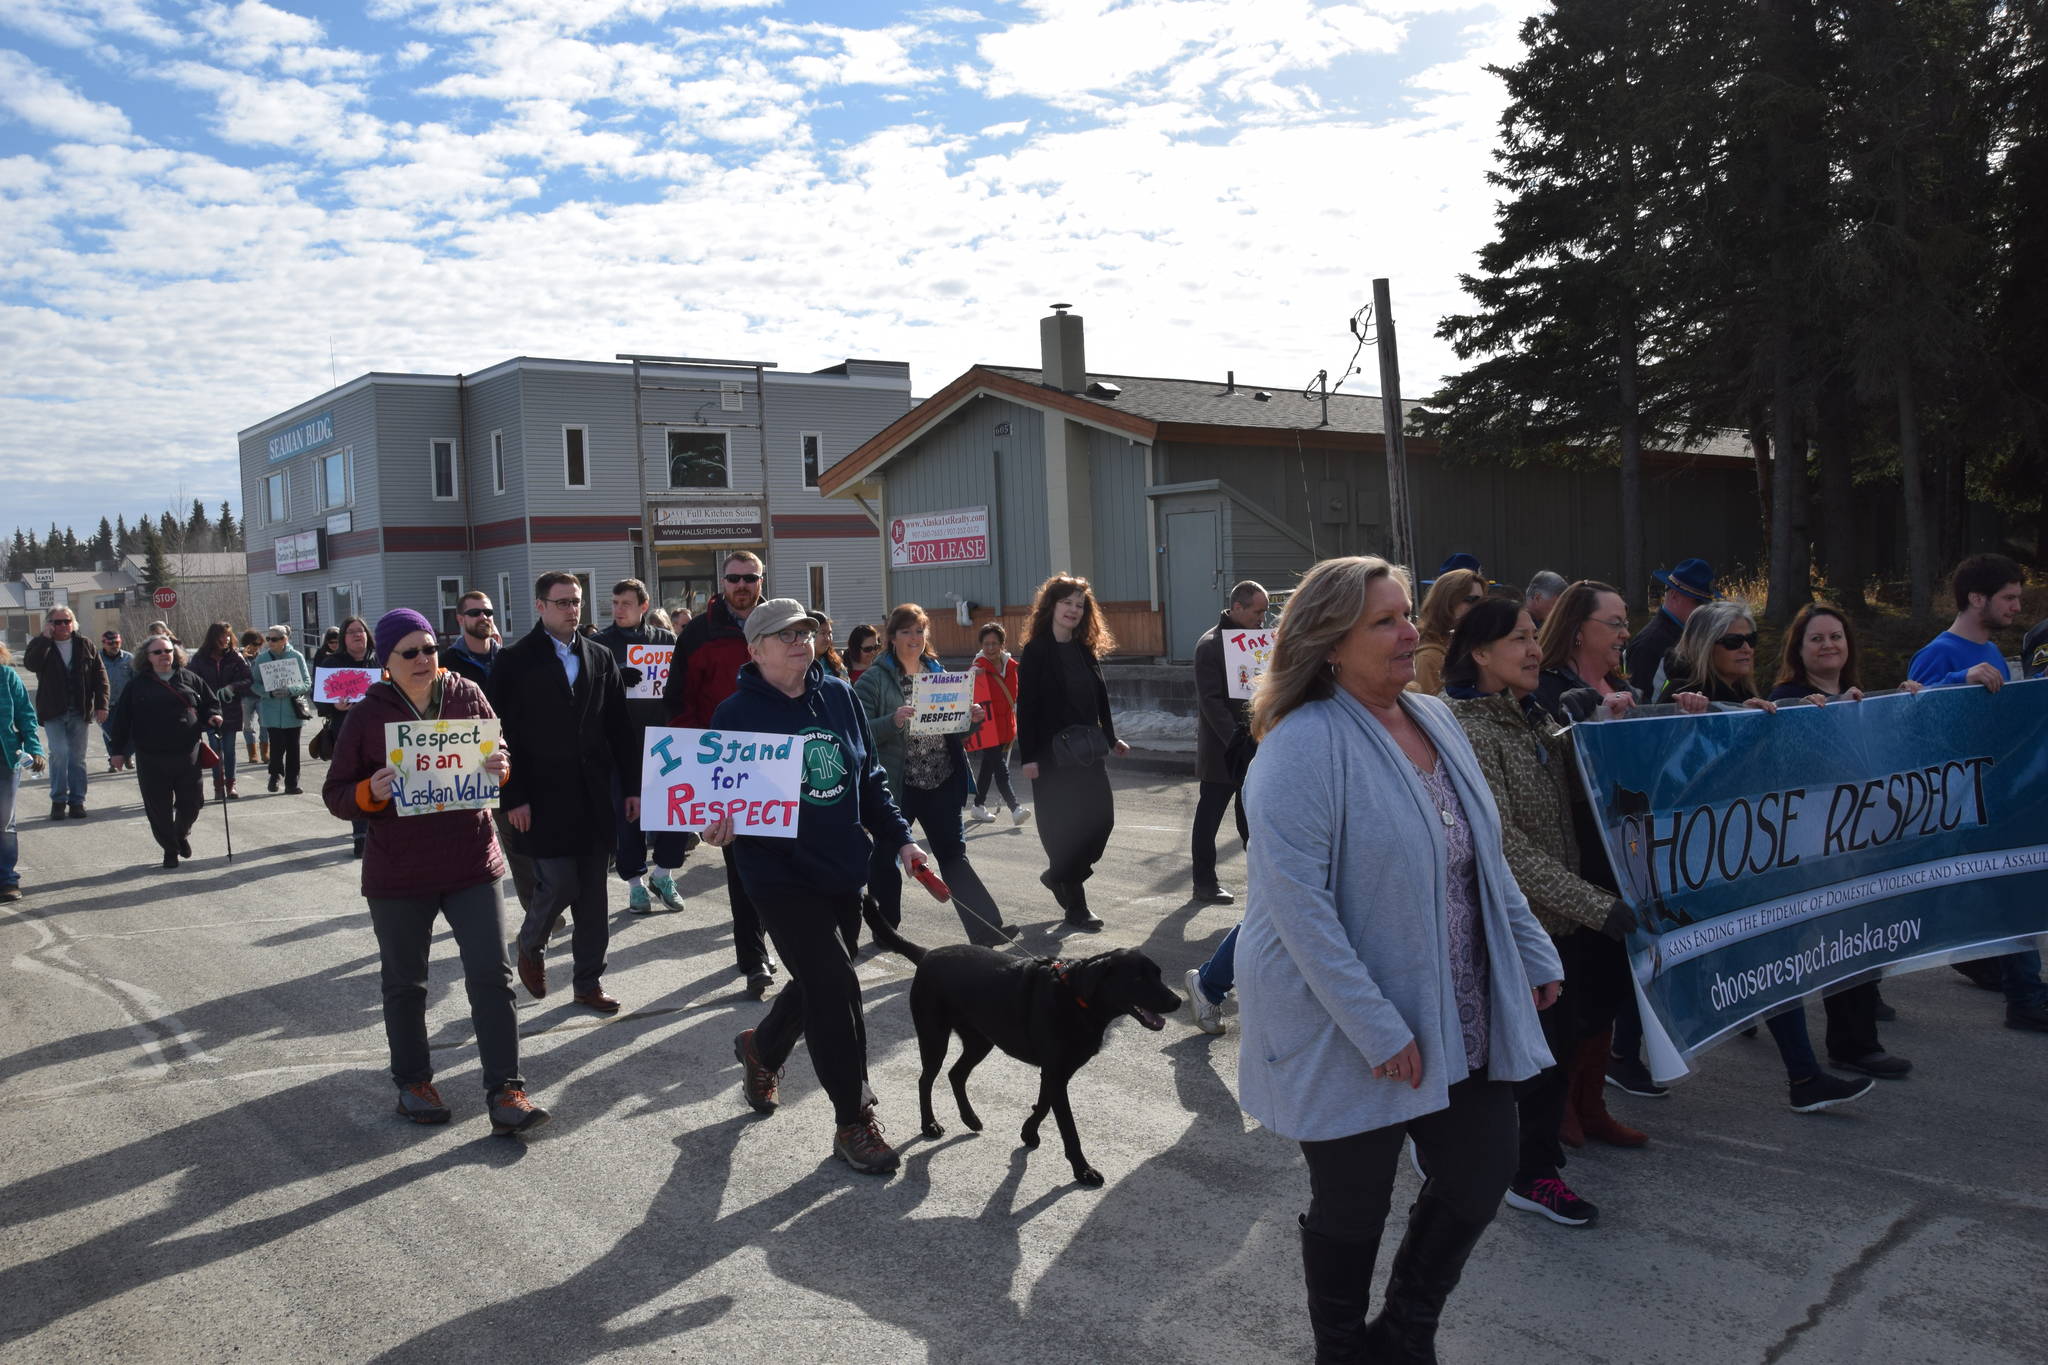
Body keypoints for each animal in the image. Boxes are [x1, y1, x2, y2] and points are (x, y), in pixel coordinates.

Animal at [864, 916, 1187, 1186]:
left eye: (1158, 974)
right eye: (1138, 979)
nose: (1177, 1002)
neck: (1077, 997)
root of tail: (927, 955)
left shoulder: (1056, 1073)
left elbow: (1043, 1105)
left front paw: (1028, 1132)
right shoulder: (1055, 1073)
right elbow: (1068, 1127)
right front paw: (1082, 1170)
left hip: (980, 1040)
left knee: (956, 1074)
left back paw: (970, 1118)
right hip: (934, 1036)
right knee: (926, 1079)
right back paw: (929, 1124)